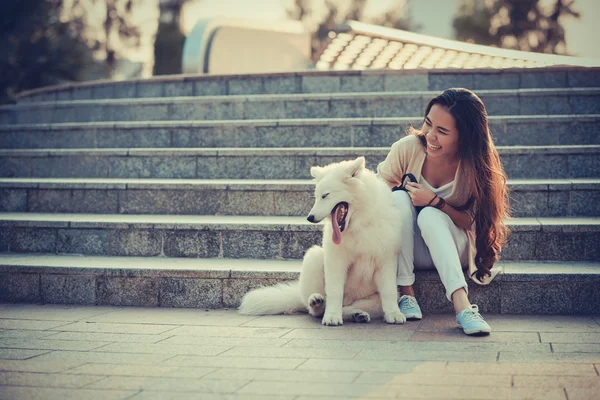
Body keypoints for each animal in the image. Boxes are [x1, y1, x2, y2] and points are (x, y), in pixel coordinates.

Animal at [237, 156, 406, 324]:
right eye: (317, 197)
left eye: (325, 195)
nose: (309, 218)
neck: (361, 223)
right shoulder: (336, 260)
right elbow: (334, 291)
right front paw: (332, 316)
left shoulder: (387, 260)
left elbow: (389, 291)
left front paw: (394, 314)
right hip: (315, 256)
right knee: (315, 307)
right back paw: (317, 303)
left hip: (372, 300)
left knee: (350, 307)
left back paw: (358, 314)